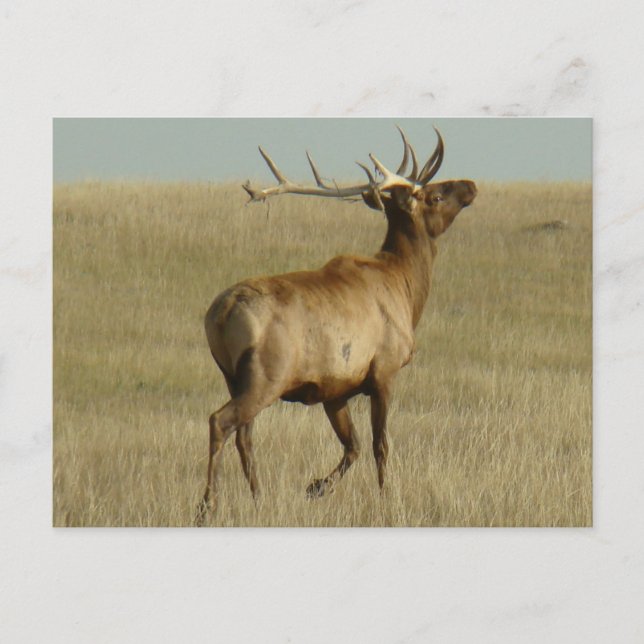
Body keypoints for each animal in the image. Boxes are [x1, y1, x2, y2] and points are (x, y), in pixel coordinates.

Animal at [195, 127, 477, 524]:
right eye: (434, 195)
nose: (470, 185)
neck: (406, 288)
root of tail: (221, 314)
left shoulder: (334, 389)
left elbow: (352, 446)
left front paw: (315, 487)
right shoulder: (384, 371)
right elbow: (380, 445)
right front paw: (386, 499)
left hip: (233, 377)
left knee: (244, 436)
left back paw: (259, 498)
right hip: (266, 376)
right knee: (221, 422)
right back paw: (207, 506)